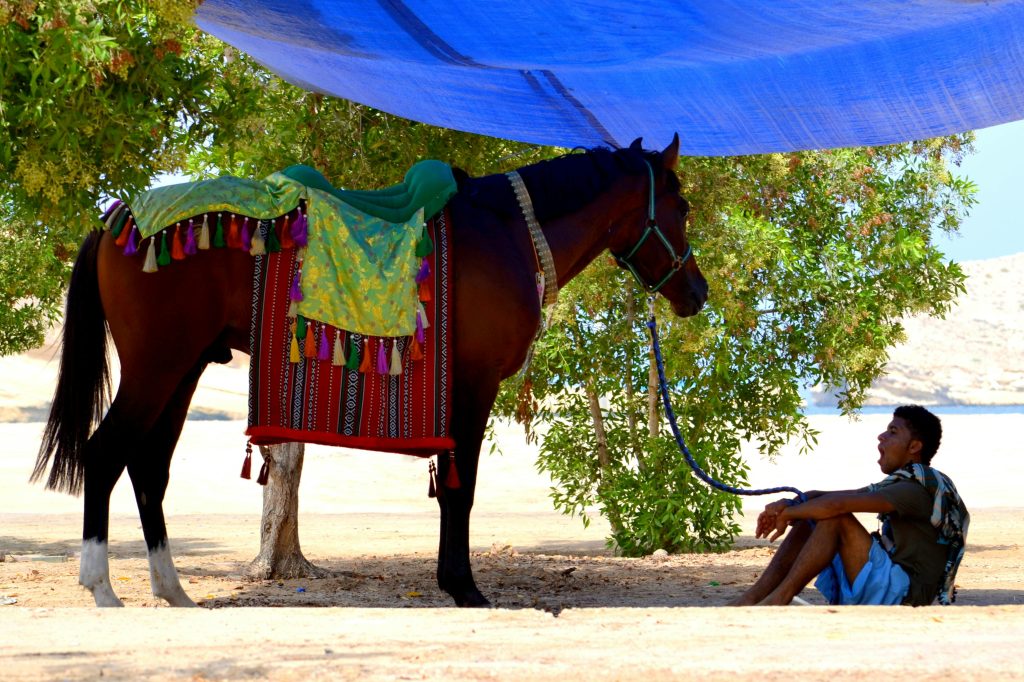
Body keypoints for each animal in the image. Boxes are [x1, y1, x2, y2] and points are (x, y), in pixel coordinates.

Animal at [33, 135, 707, 608]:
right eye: (682, 206)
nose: (696, 293)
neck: (509, 233)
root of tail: (118, 218)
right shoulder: (474, 385)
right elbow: (462, 488)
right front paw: (463, 586)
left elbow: (453, 488)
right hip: (158, 365)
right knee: (105, 453)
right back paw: (102, 587)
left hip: (183, 369)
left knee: (148, 468)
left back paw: (172, 590)